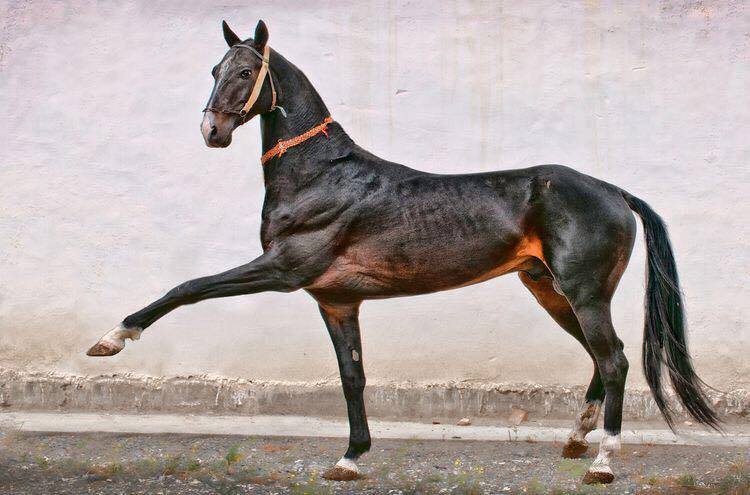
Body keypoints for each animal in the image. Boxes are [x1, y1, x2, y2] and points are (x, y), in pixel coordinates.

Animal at [88, 20, 724, 484]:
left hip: (585, 292)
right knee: (599, 358)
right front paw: (349, 458)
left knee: (614, 360)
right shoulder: (336, 301)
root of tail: (616, 192)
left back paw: (603, 462)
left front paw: (112, 339)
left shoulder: (284, 270)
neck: (321, 175)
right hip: (549, 289)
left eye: (246, 70)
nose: (212, 131)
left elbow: (188, 288)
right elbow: (352, 376)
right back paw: (574, 440)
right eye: (215, 69)